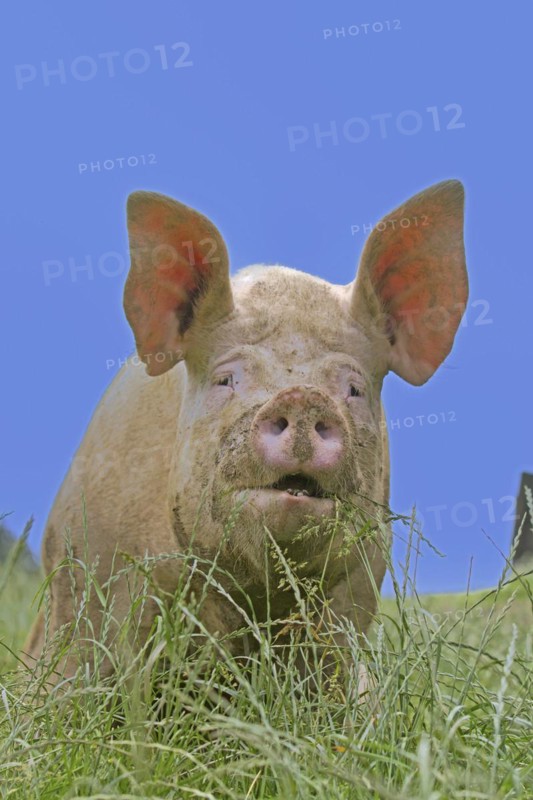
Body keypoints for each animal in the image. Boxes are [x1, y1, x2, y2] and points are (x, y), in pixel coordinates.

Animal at [24, 180, 468, 684]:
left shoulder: (355, 593)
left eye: (353, 388)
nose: (301, 396)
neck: (256, 600)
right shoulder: (91, 570)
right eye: (226, 379)